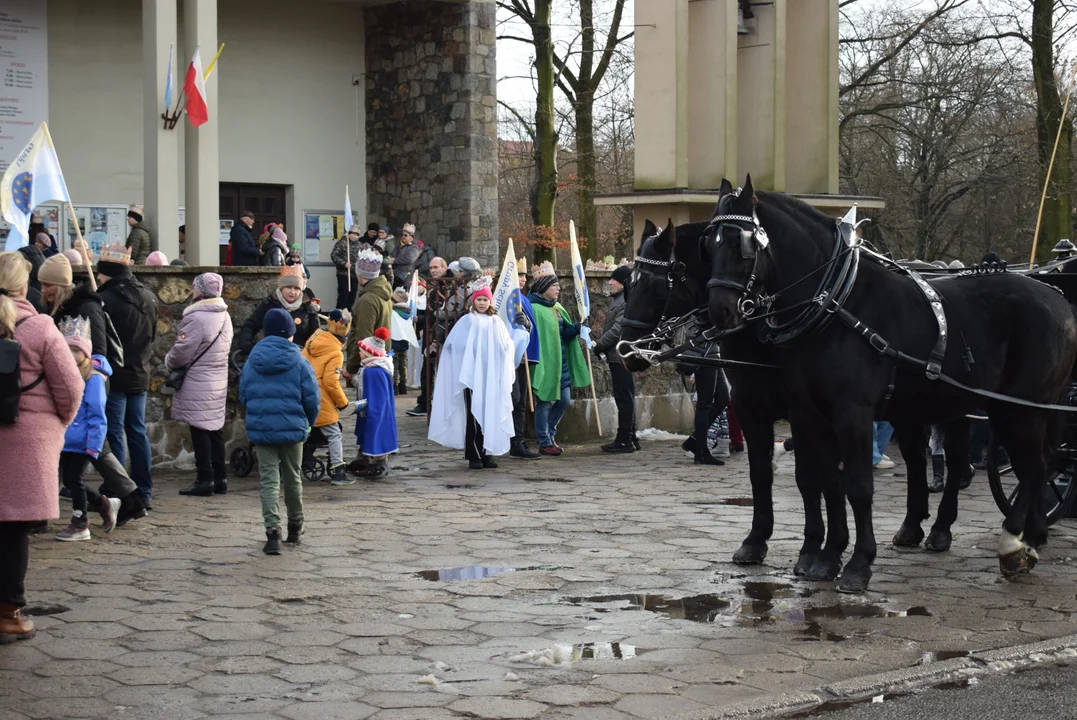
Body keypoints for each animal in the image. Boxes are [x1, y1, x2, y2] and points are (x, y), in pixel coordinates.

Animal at [620, 216, 973, 568]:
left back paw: (941, 528)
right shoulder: (751, 406)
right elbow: (764, 473)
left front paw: (813, 547)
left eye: (654, 284)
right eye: (628, 283)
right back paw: (912, 526)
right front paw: (757, 540)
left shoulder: (803, 411)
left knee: (955, 458)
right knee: (914, 456)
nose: (624, 349)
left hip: (953, 404)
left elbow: (810, 478)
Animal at [706, 178, 1077, 589]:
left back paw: (1012, 542)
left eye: (741, 242)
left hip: (1017, 408)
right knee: (1028, 464)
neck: (836, 304)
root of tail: (1057, 296)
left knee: (1033, 467)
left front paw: (857, 563)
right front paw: (828, 557)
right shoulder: (810, 414)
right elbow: (828, 483)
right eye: (710, 242)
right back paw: (1025, 535)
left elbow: (857, 486)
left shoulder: (852, 413)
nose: (720, 311)